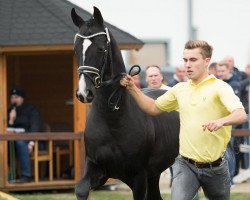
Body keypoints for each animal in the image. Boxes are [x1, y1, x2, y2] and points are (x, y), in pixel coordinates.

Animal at [72, 7, 180, 199]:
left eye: (101, 49)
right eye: (76, 49)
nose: (84, 93)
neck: (113, 118)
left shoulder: (138, 177)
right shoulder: (96, 168)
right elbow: (81, 189)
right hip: (154, 174)